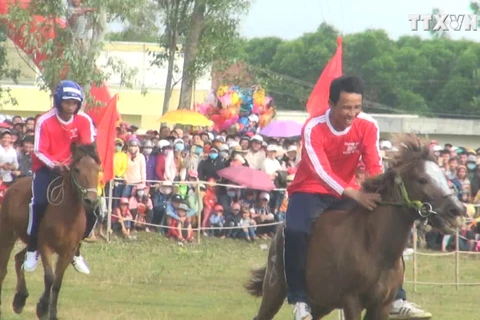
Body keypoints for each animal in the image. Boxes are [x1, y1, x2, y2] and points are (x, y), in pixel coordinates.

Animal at [0, 143, 100, 320]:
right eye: (77, 170)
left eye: (97, 169)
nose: (91, 201)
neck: (66, 214)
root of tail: (13, 186)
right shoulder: (46, 246)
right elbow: (49, 278)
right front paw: (42, 308)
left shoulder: (67, 252)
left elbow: (57, 283)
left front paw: (52, 313)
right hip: (7, 236)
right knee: (3, 269)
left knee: (19, 258)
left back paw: (20, 299)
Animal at [244, 134, 464, 320]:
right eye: (422, 179)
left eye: (443, 176)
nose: (456, 210)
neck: (374, 246)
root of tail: (280, 231)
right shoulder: (352, 301)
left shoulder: (381, 306)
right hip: (275, 289)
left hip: (322, 303)